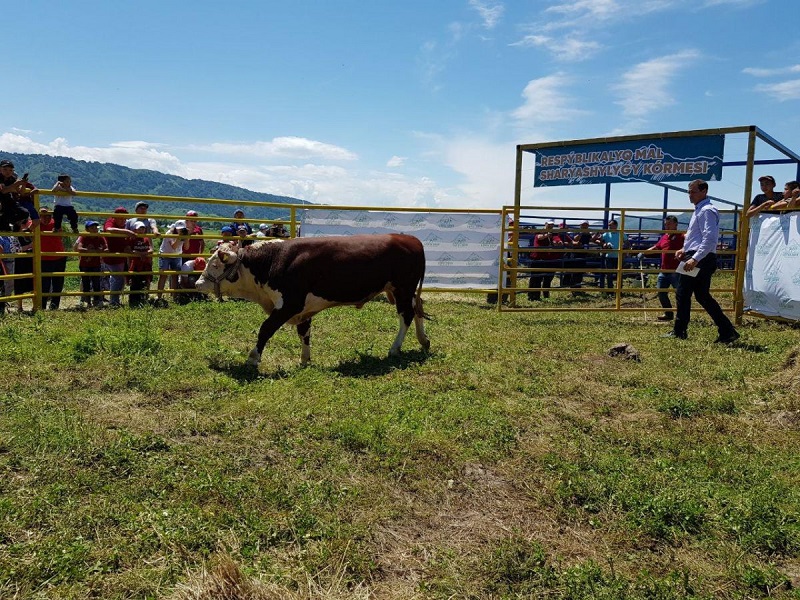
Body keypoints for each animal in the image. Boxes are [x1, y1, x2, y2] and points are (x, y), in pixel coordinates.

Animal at [195, 234, 432, 366]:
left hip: (402, 288)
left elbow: (265, 329)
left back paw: (395, 348)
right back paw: (423, 340)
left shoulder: (290, 304)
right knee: (417, 308)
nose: (198, 284)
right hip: (403, 290)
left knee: (406, 315)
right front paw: (304, 360)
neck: (274, 260)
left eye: (215, 265)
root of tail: (411, 239)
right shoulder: (303, 310)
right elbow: (304, 334)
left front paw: (253, 358)